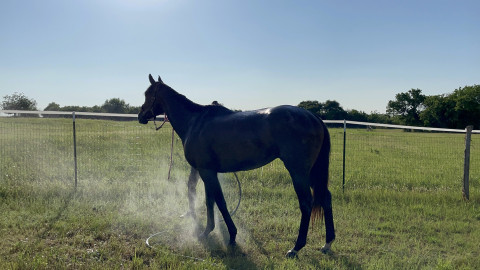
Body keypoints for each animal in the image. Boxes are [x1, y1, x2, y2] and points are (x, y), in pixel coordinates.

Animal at [137, 74, 336, 258]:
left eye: (148, 94)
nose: (140, 116)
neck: (195, 122)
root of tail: (313, 117)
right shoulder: (207, 171)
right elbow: (210, 201)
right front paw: (208, 231)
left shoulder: (207, 172)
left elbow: (220, 202)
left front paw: (232, 236)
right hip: (312, 173)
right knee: (326, 198)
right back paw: (327, 243)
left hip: (299, 172)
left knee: (306, 203)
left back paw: (296, 248)